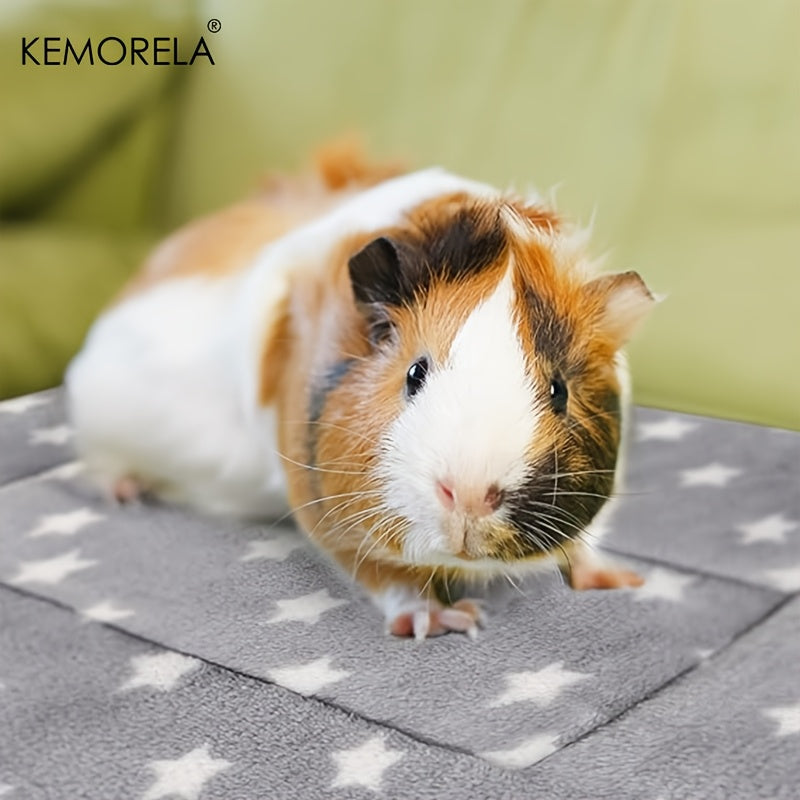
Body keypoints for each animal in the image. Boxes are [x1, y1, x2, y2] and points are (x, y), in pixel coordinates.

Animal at [66, 143, 655, 639]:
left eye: (558, 390)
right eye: (415, 373)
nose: (468, 495)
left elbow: (586, 543)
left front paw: (623, 580)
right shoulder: (333, 519)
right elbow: (388, 578)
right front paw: (443, 622)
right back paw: (126, 494)